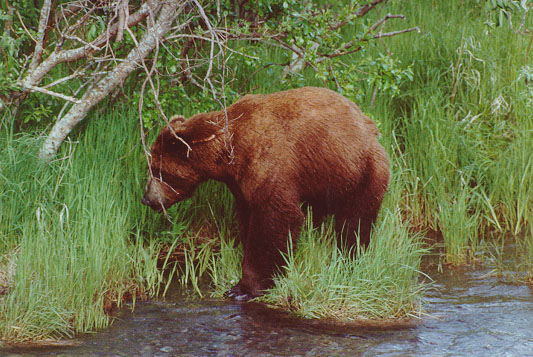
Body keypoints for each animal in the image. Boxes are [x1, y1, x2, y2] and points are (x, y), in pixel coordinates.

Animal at [141, 86, 388, 300]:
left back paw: (350, 258)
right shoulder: (240, 184)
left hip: (358, 171)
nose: (146, 199)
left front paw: (243, 288)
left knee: (354, 221)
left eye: (157, 170)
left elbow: (274, 219)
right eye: (151, 167)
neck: (228, 155)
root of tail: (370, 127)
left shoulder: (267, 161)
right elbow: (248, 216)